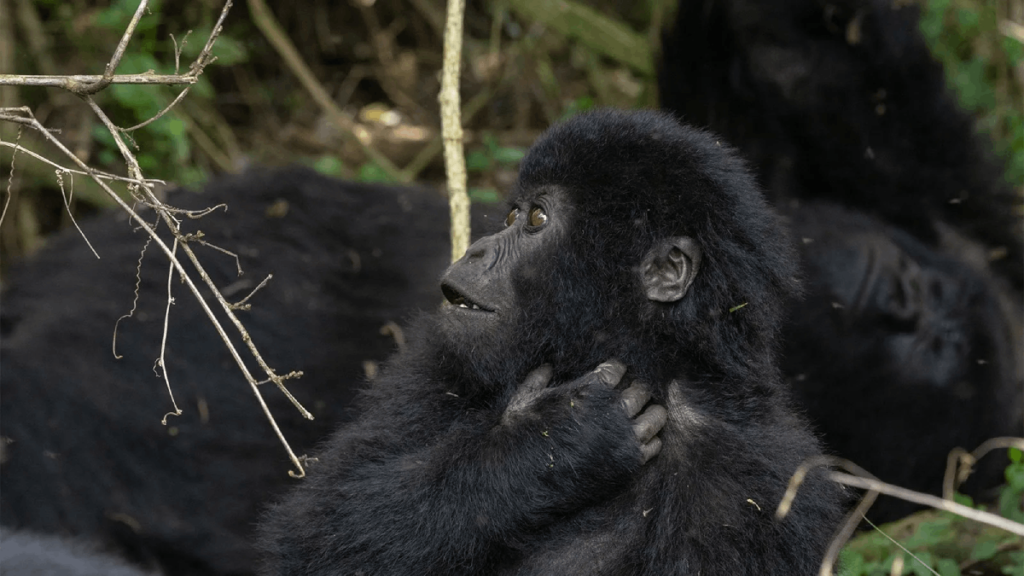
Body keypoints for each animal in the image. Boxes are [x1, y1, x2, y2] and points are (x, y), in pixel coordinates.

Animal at [253, 108, 839, 573]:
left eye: (535, 219)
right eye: (511, 213)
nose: (477, 249)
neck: (648, 363)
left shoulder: (755, 477)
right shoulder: (435, 361)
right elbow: (315, 538)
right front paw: (556, 440)